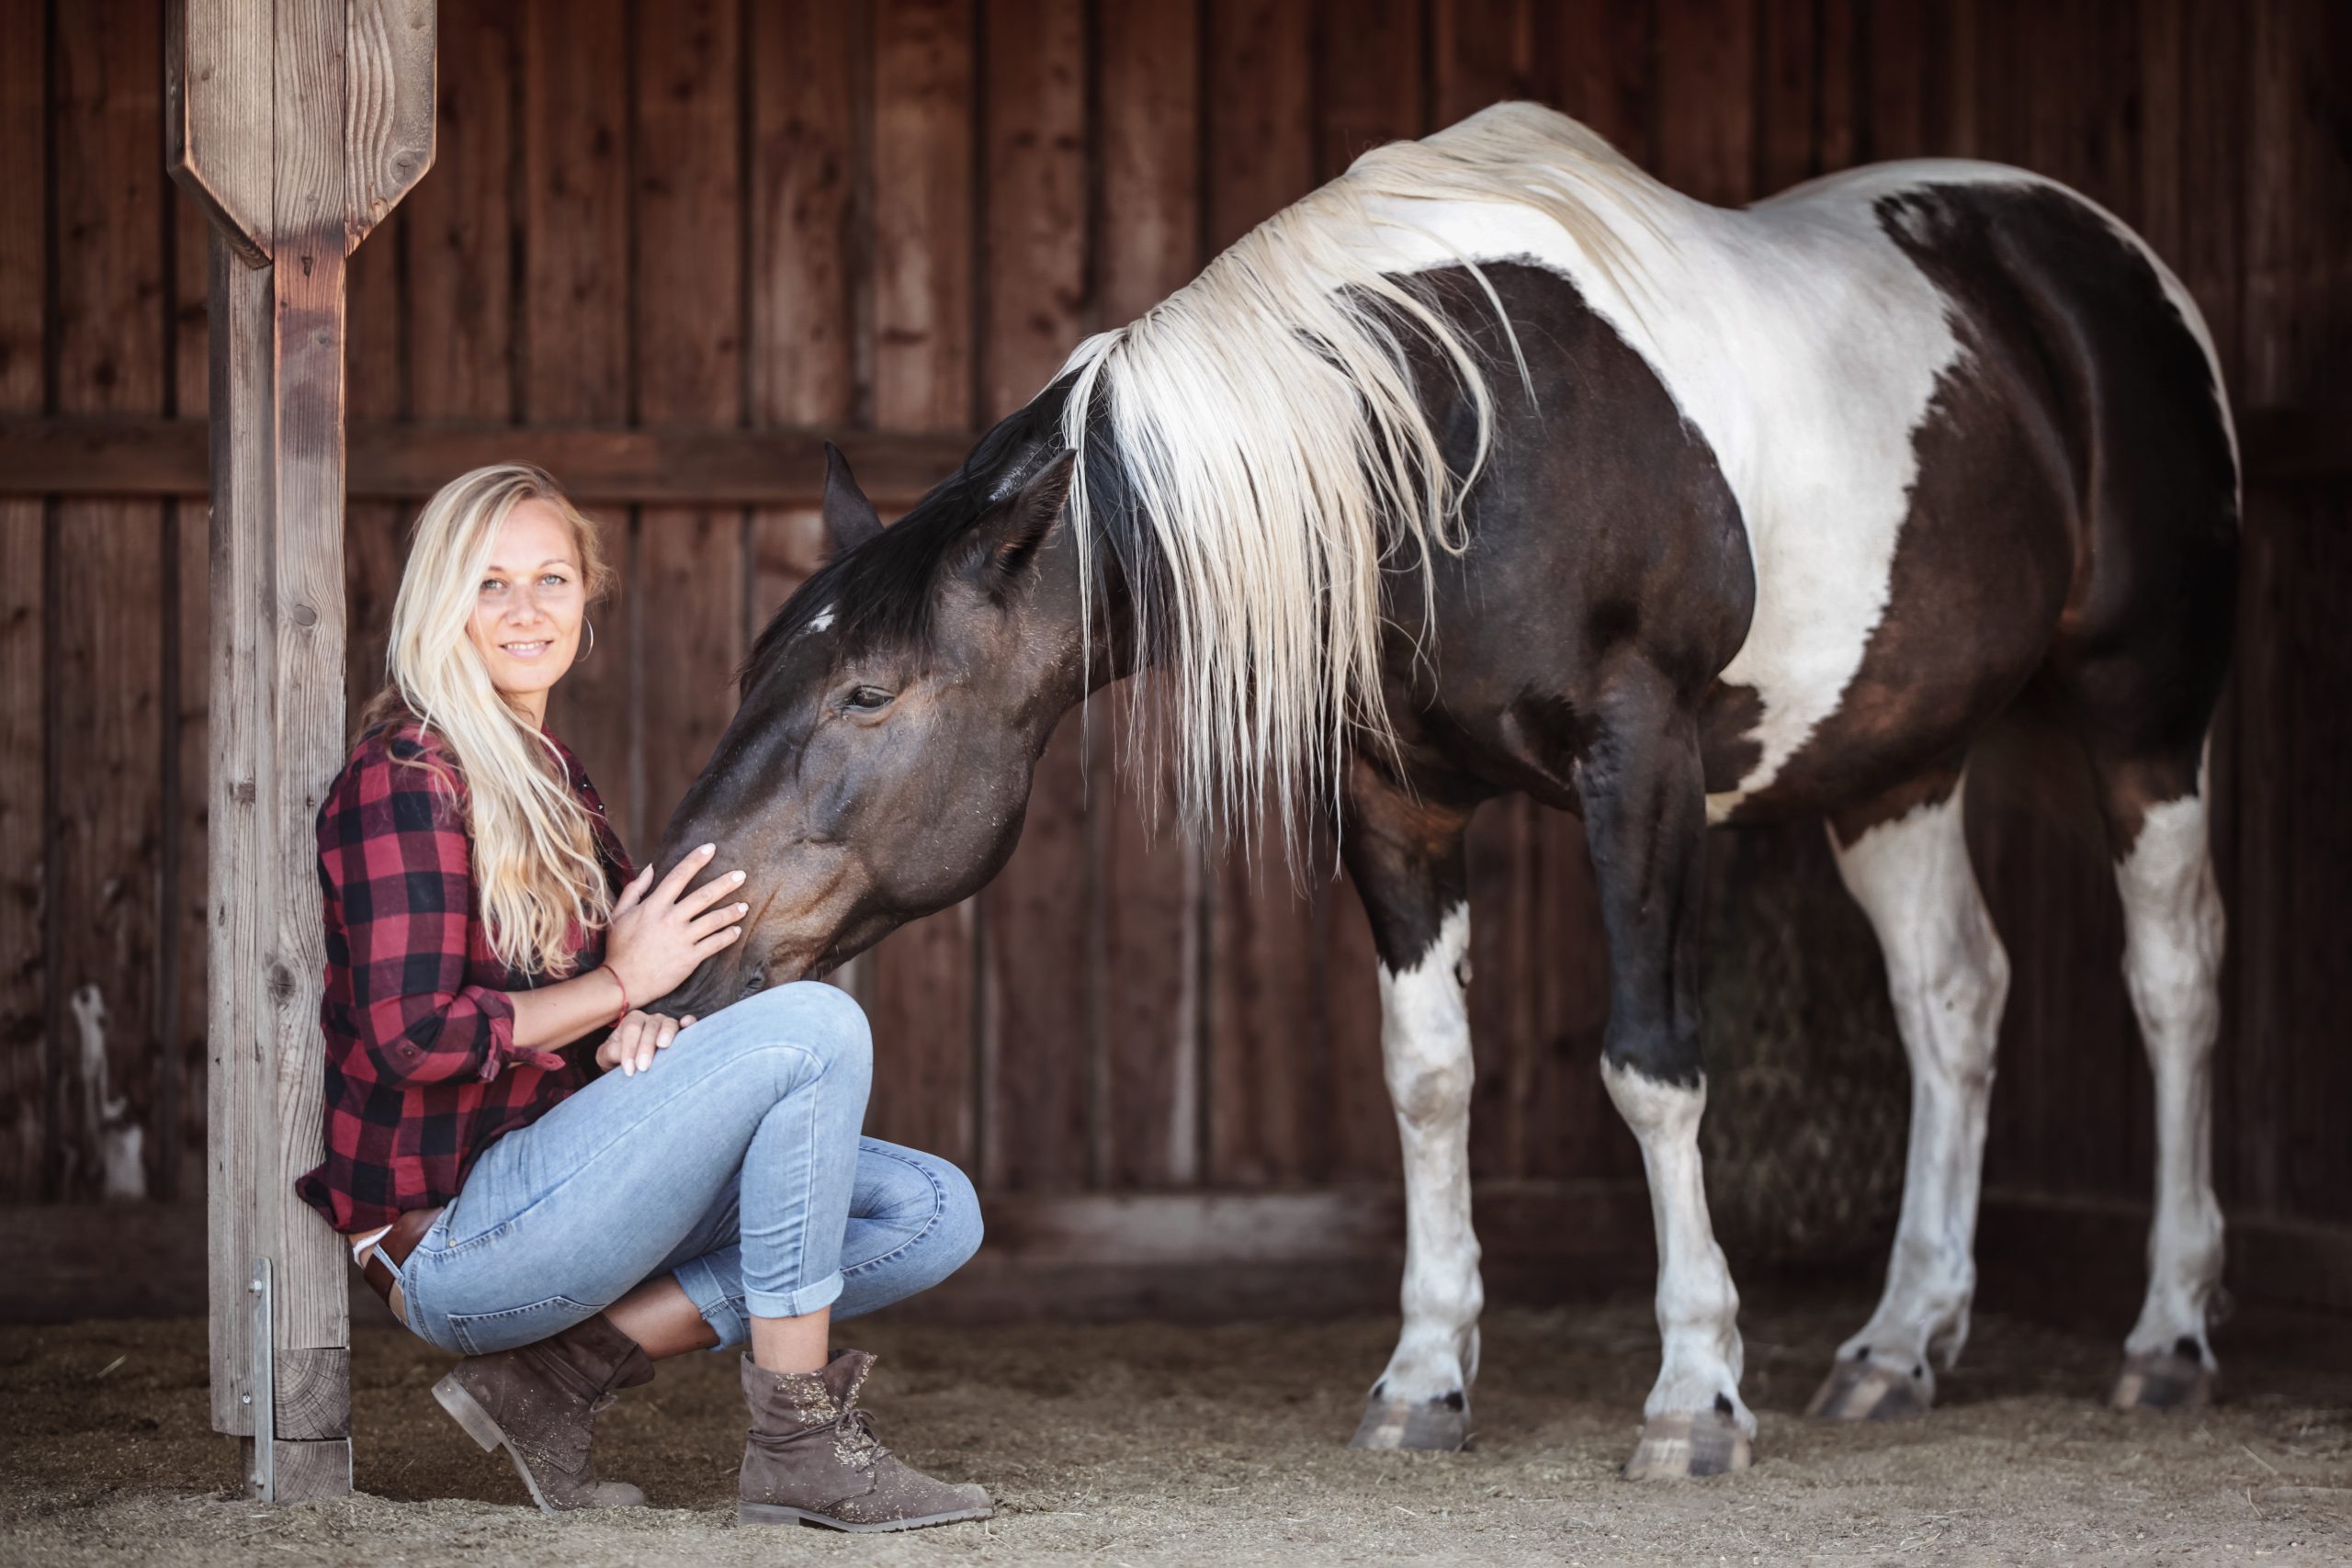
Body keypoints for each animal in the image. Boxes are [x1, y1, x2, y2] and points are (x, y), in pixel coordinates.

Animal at [653, 110, 2229, 1485]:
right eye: (755, 669)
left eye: (869, 694)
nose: (669, 938)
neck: (1438, 438)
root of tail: (2097, 258)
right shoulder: (1395, 800)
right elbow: (1427, 1073)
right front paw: (1424, 1379)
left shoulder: (1642, 760)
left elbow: (1652, 1066)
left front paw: (1696, 1392)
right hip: (1893, 764)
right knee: (1954, 997)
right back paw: (1899, 1345)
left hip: (2145, 717)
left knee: (2171, 977)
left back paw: (2168, 1334)